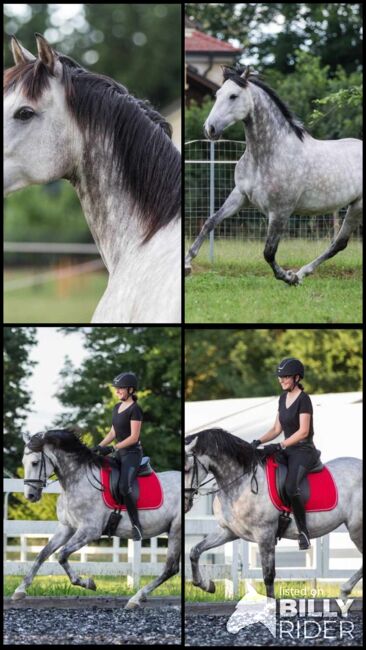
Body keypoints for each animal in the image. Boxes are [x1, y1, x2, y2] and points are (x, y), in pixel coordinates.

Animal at [15, 430, 182, 608]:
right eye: (23, 462)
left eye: (35, 462)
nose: (30, 496)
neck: (78, 479)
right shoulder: (66, 528)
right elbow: (43, 554)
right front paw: (20, 590)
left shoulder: (90, 531)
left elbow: (62, 555)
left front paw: (87, 583)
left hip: (176, 530)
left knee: (170, 568)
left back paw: (136, 598)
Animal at [184, 65, 362, 284]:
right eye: (217, 94)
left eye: (233, 96)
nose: (210, 129)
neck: (269, 153)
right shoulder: (240, 196)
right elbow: (210, 222)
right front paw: (187, 263)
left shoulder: (280, 211)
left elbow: (268, 251)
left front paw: (288, 277)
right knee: (337, 244)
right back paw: (302, 273)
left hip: (357, 207)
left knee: (338, 243)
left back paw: (299, 274)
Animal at [186, 428, 364, 600]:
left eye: (187, 469)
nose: (186, 501)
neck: (241, 482)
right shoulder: (228, 531)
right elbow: (195, 551)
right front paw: (206, 585)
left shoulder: (265, 534)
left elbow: (268, 575)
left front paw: (270, 606)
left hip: (356, 530)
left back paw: (344, 591)